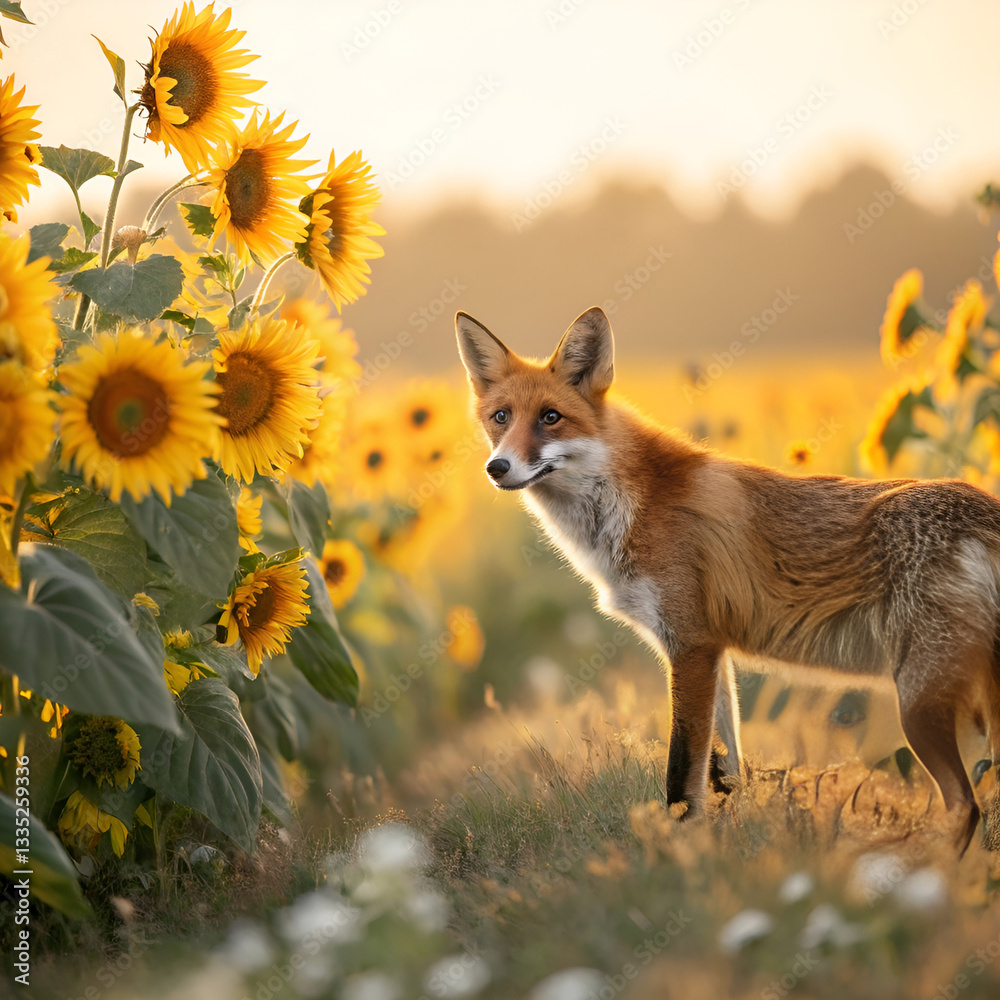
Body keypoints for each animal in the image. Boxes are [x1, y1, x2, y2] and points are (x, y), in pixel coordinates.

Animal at [456, 305, 1000, 852]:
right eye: (501, 417)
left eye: (550, 417)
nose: (497, 467)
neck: (629, 504)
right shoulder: (713, 652)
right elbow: (728, 772)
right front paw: (726, 845)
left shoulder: (691, 645)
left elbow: (681, 777)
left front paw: (676, 853)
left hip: (919, 702)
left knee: (967, 805)